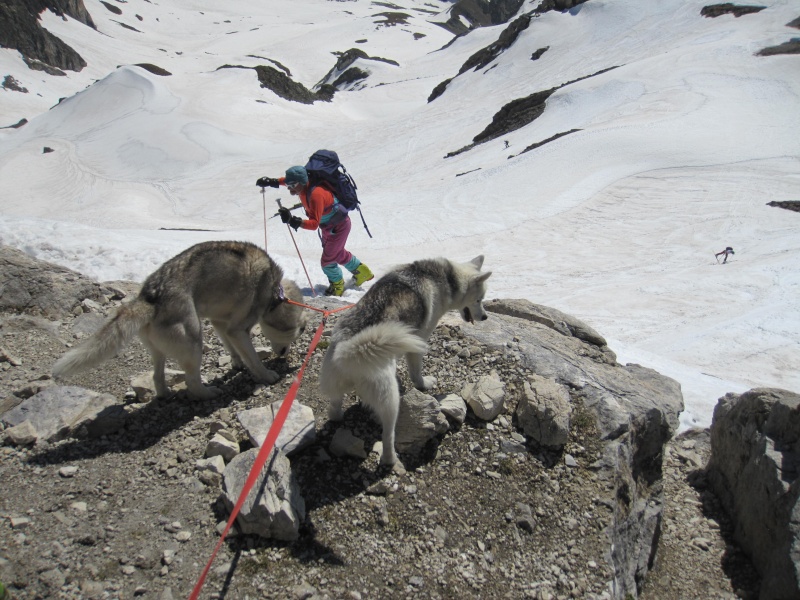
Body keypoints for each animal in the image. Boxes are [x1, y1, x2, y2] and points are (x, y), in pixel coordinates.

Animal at [53, 241, 308, 400]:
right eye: (301, 330)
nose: (284, 354)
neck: (273, 290)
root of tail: (149, 297)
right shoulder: (238, 328)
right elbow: (253, 358)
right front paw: (266, 375)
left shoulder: (220, 323)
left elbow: (232, 348)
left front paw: (237, 363)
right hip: (193, 338)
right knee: (191, 382)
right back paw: (208, 394)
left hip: (158, 349)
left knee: (157, 375)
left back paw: (165, 393)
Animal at [320, 255, 494, 466]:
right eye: (479, 299)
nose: (485, 316)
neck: (445, 277)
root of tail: (348, 352)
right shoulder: (418, 340)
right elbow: (416, 373)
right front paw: (424, 384)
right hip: (390, 400)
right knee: (388, 435)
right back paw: (391, 459)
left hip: (335, 387)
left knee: (334, 409)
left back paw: (338, 417)